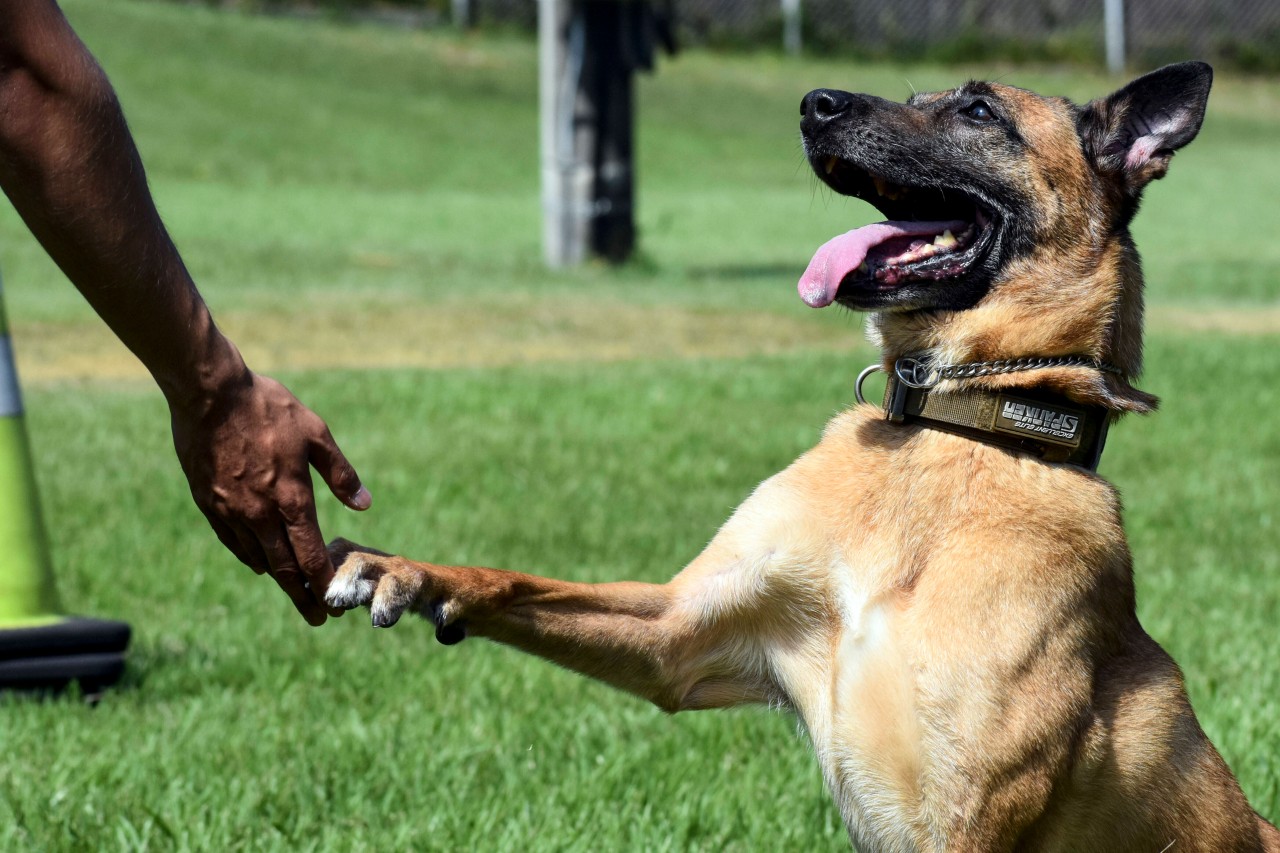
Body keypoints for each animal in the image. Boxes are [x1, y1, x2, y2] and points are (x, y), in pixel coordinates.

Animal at [322, 63, 1280, 845]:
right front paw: (404, 569)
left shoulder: (964, 814)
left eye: (978, 111)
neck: (950, 430)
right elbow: (517, 581)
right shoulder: (680, 631)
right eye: (922, 94)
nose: (814, 103)